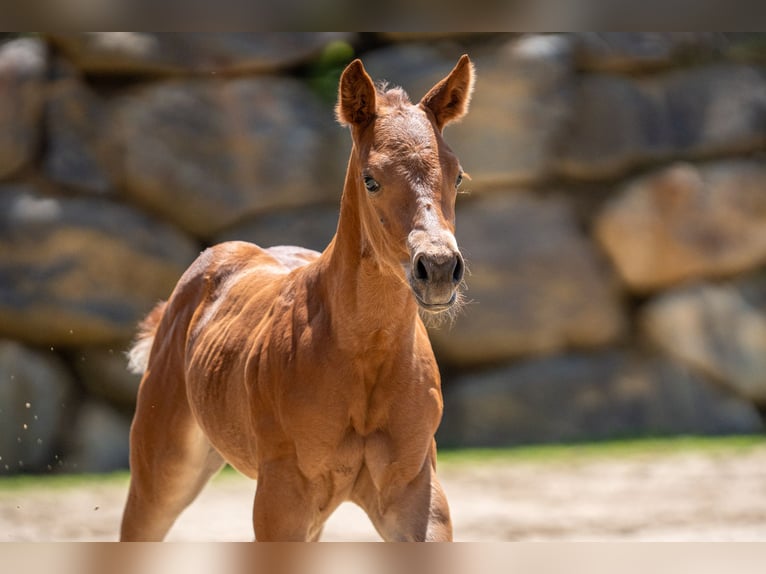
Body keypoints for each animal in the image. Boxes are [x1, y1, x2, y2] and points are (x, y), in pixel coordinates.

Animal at [119, 54, 475, 542]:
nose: (438, 268)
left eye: (457, 176)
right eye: (371, 180)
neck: (365, 358)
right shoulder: (282, 497)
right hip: (164, 469)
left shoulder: (415, 488)